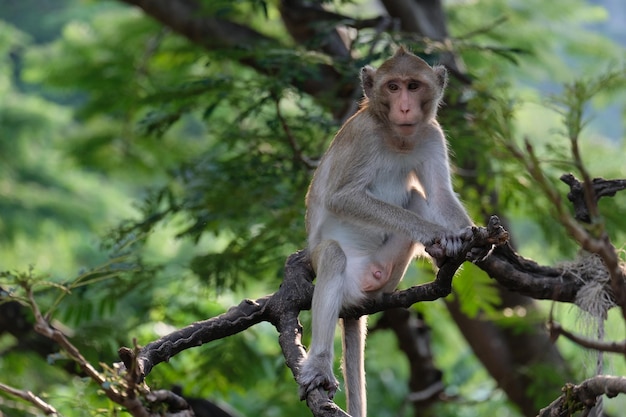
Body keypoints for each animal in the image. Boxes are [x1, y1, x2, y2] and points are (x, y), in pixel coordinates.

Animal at [296, 45, 472, 416]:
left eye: (413, 86)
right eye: (393, 87)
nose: (404, 107)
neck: (397, 136)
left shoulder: (431, 133)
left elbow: (439, 194)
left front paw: (474, 239)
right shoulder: (363, 135)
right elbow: (342, 197)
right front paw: (436, 232)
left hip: (387, 273)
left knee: (416, 196)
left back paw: (440, 256)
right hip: (346, 278)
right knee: (332, 256)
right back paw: (319, 364)